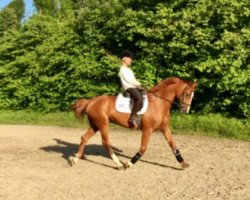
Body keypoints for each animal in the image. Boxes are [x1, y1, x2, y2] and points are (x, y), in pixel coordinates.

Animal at [69, 76, 197, 169]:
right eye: (187, 93)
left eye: (192, 95)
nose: (185, 111)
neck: (159, 103)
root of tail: (90, 101)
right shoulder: (147, 129)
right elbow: (143, 148)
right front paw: (129, 163)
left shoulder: (164, 128)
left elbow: (173, 144)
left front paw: (183, 163)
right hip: (102, 124)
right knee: (106, 142)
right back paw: (119, 164)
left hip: (95, 125)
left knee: (84, 138)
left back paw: (75, 159)